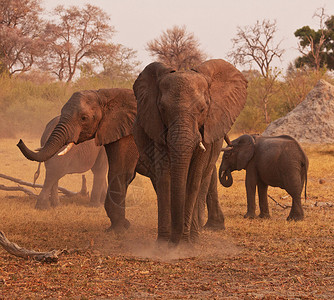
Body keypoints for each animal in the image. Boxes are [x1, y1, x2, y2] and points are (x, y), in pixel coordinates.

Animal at [133, 58, 248, 244]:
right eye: (162, 109)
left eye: (202, 109)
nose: (175, 241)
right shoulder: (158, 128)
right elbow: (164, 177)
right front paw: (163, 244)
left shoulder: (207, 129)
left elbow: (194, 178)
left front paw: (187, 243)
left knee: (202, 179)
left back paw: (195, 234)